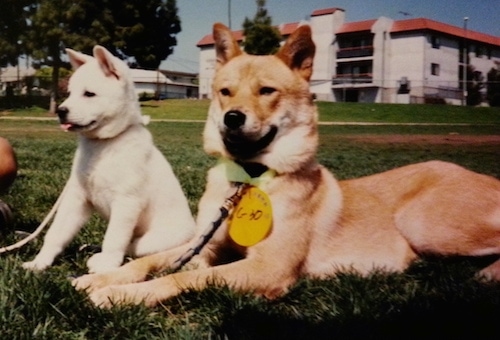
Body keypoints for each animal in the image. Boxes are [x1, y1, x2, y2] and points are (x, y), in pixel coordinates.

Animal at [23, 45, 196, 274]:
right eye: (69, 93)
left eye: (89, 94)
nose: (60, 111)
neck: (102, 146)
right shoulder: (76, 198)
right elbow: (56, 233)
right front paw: (39, 262)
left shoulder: (126, 202)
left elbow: (114, 238)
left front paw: (106, 264)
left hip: (153, 240)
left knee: (132, 246)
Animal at [72, 22, 500, 306]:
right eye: (225, 91)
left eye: (267, 91)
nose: (232, 118)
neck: (250, 181)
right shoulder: (204, 245)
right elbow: (150, 261)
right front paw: (104, 277)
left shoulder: (267, 269)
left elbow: (179, 279)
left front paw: (119, 294)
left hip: (423, 223)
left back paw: (486, 274)